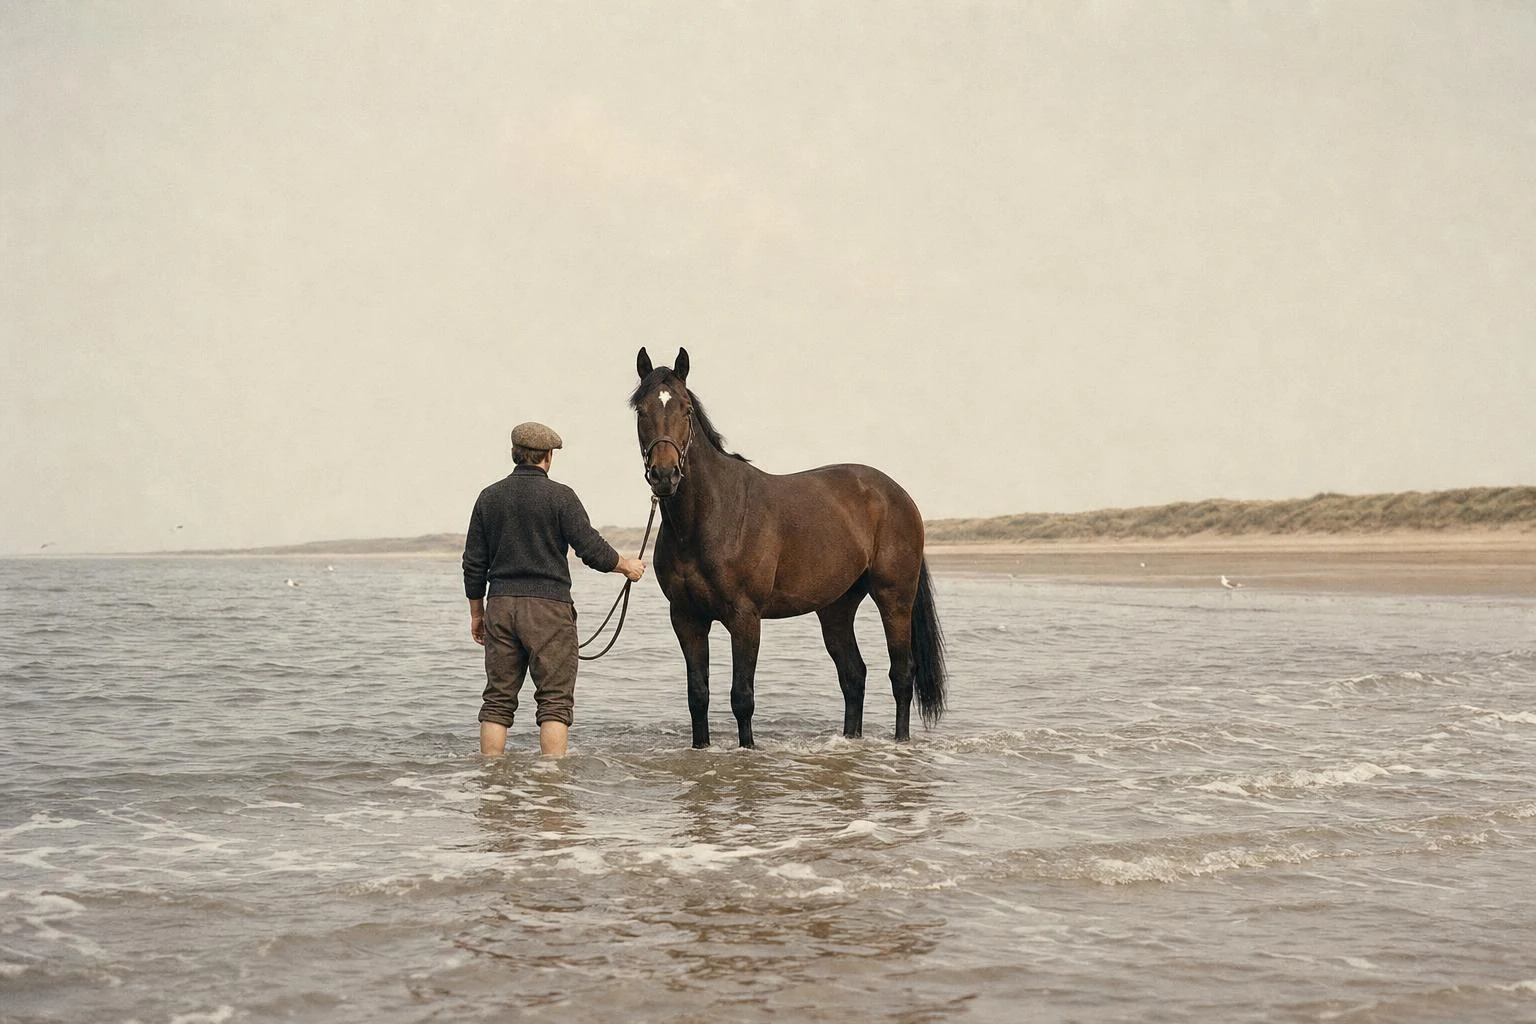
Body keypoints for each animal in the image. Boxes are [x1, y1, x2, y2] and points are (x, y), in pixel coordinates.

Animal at [630, 347, 946, 748]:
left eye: (686, 409)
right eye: (642, 411)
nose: (664, 475)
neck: (708, 519)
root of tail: (898, 495)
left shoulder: (745, 617)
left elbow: (742, 697)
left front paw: (748, 750)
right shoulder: (686, 618)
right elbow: (697, 695)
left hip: (894, 597)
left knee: (902, 674)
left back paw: (900, 742)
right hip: (837, 607)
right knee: (853, 675)